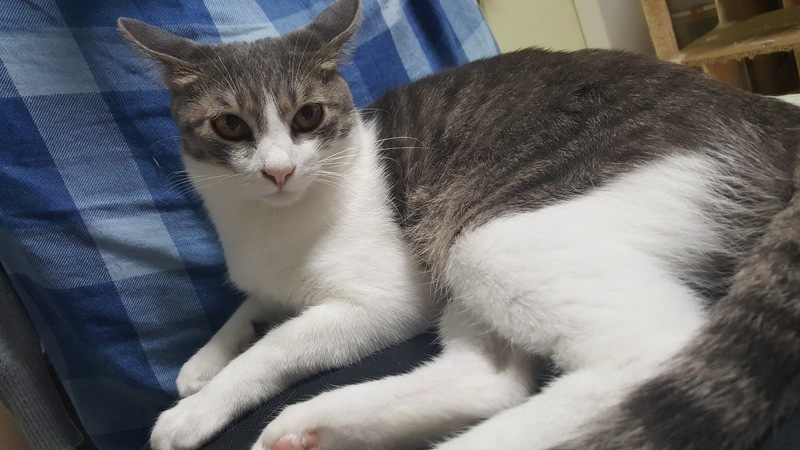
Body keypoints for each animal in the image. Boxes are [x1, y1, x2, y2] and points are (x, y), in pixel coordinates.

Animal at [119, 0, 800, 449]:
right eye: (230, 126)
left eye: (308, 116)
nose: (279, 170)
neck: (269, 223)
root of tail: (760, 111)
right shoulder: (264, 279)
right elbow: (249, 306)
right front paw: (201, 363)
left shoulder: (388, 300)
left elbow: (277, 345)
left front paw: (200, 405)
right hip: (461, 256)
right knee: (493, 378)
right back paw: (311, 426)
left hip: (487, 235)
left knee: (651, 348)